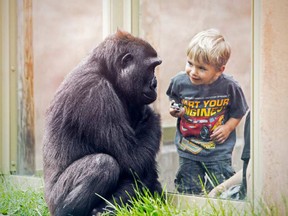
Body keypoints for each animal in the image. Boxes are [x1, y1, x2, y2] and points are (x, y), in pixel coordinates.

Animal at [43, 30, 164, 216]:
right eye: (151, 68)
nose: (155, 84)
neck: (106, 71)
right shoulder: (96, 94)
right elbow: (132, 159)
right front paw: (151, 115)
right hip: (55, 200)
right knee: (102, 164)